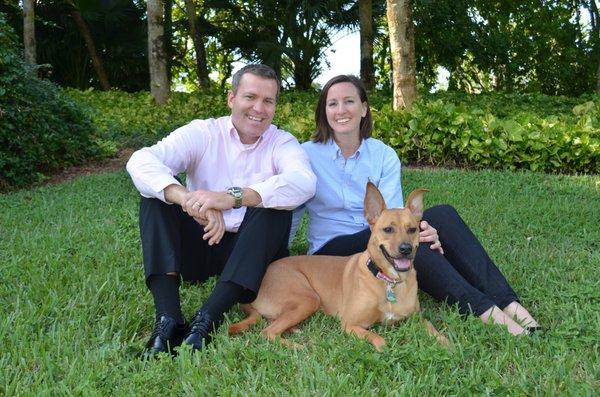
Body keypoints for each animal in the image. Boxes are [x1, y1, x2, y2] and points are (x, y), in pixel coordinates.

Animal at [230, 183, 446, 350]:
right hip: (308, 299)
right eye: (388, 229)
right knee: (267, 332)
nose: (405, 249)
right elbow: (379, 339)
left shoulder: (415, 318)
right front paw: (385, 349)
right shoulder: (351, 324)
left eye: (413, 229)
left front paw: (447, 344)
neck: (388, 280)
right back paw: (299, 346)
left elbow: (431, 326)